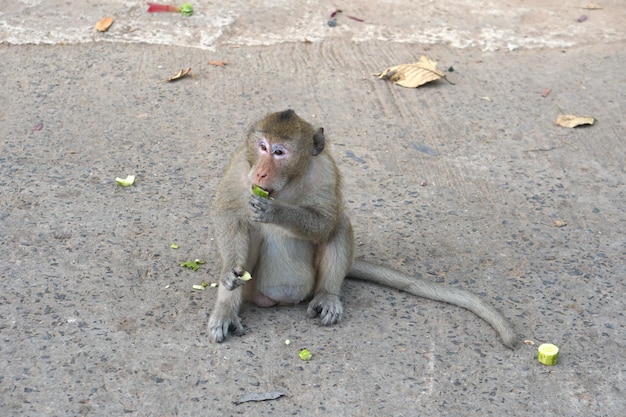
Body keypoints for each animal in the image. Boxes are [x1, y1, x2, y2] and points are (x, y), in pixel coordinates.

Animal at [207, 109, 516, 346]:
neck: (285, 186)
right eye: (262, 147)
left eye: (280, 152)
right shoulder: (239, 166)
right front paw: (230, 272)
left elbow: (326, 221)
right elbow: (229, 217)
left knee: (340, 225)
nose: (260, 173)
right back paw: (226, 312)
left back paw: (327, 296)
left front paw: (276, 211)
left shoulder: (326, 171)